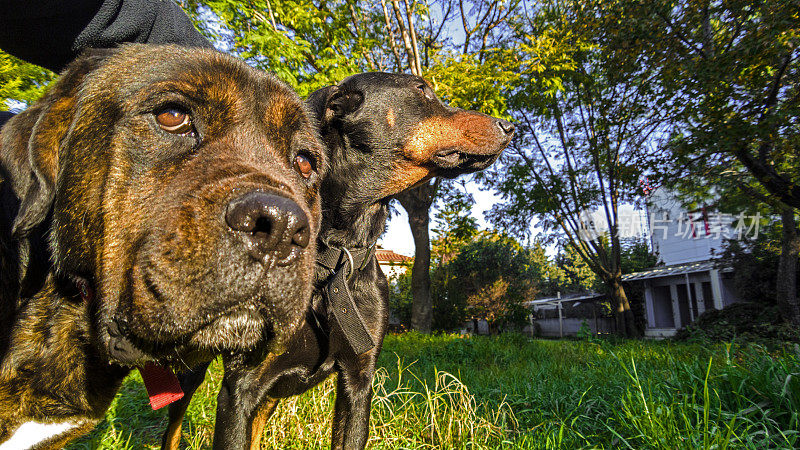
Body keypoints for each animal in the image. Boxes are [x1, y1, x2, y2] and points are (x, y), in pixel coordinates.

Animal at [164, 72, 512, 448]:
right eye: (422, 90)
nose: (510, 126)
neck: (334, 259)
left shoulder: (358, 381)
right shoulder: (241, 387)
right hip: (187, 367)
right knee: (172, 426)